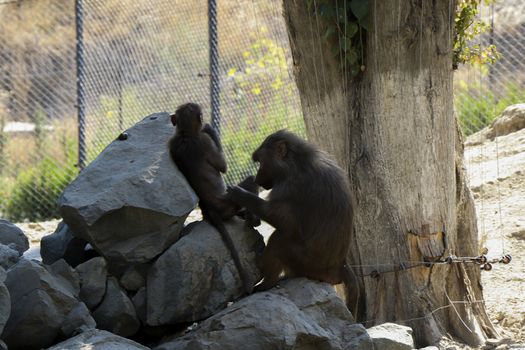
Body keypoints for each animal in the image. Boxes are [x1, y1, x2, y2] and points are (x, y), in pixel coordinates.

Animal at [168, 102, 258, 294]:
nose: (204, 122)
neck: (186, 134)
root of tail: (209, 209)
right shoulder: (205, 141)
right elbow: (223, 167)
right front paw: (209, 128)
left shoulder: (171, 142)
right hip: (229, 202)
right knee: (249, 182)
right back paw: (252, 220)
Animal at [225, 130, 364, 318]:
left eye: (261, 161)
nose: (257, 179)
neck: (297, 161)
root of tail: (337, 267)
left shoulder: (291, 184)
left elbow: (284, 222)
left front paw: (239, 194)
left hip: (307, 264)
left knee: (279, 240)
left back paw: (267, 283)